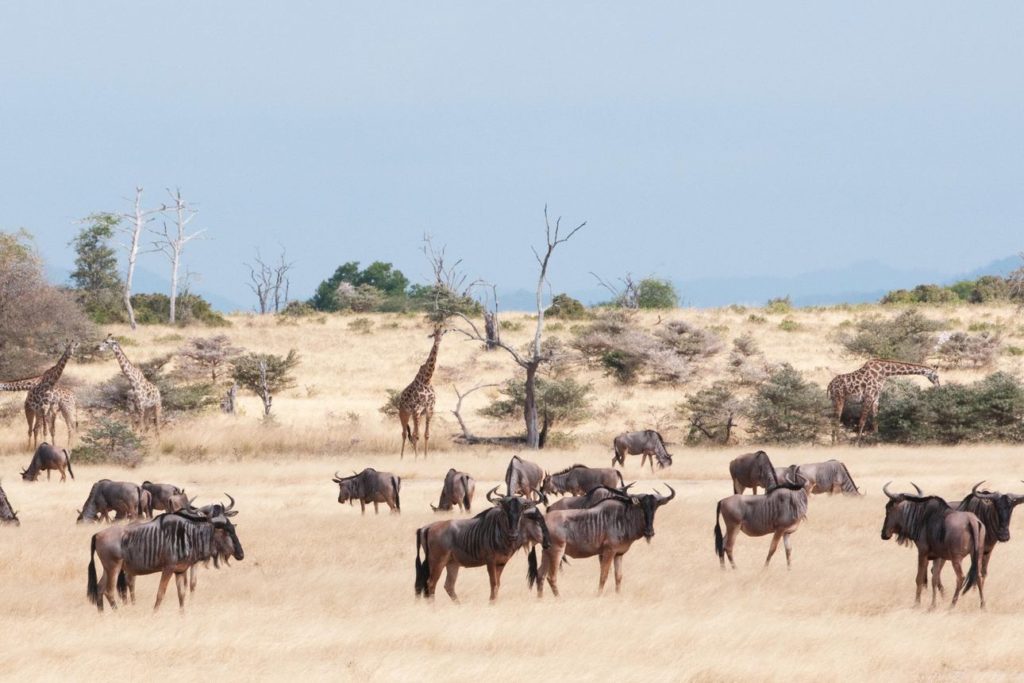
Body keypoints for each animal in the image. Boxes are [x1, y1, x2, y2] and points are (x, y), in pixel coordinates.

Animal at [395, 327, 444, 458]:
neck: (427, 380)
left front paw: (425, 457)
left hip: (417, 415)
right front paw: (416, 458)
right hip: (404, 413)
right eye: (433, 334)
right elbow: (416, 435)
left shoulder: (429, 409)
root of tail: (400, 399)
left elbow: (426, 434)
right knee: (404, 433)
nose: (438, 342)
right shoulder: (416, 409)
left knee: (412, 433)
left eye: (442, 334)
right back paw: (401, 457)